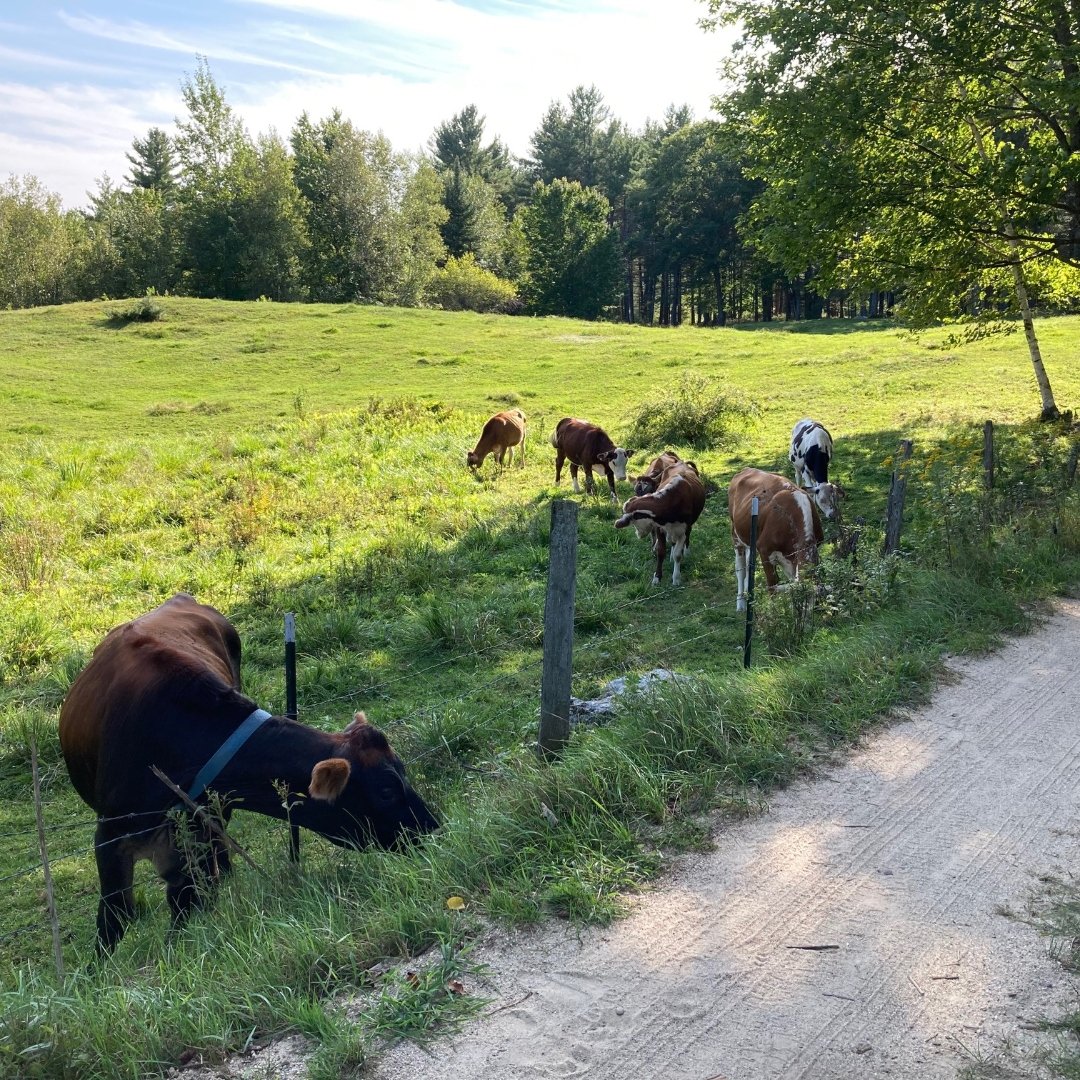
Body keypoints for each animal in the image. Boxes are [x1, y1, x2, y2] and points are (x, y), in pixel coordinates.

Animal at [58, 591, 438, 954]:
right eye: (386, 791)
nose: (433, 828)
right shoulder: (110, 836)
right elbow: (115, 917)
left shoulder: (196, 836)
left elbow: (187, 904)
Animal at [617, 451, 708, 587]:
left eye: (634, 521)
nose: (638, 534)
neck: (671, 501)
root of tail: (682, 463)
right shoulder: (660, 528)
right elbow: (660, 552)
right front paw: (657, 577)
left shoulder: (682, 530)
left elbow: (677, 555)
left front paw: (676, 578)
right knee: (672, 541)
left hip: (689, 526)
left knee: (686, 537)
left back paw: (686, 551)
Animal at [730, 466, 820, 613]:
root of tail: (747, 469)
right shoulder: (764, 550)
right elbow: (772, 585)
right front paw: (774, 612)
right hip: (736, 536)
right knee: (740, 569)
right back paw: (741, 603)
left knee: (749, 563)